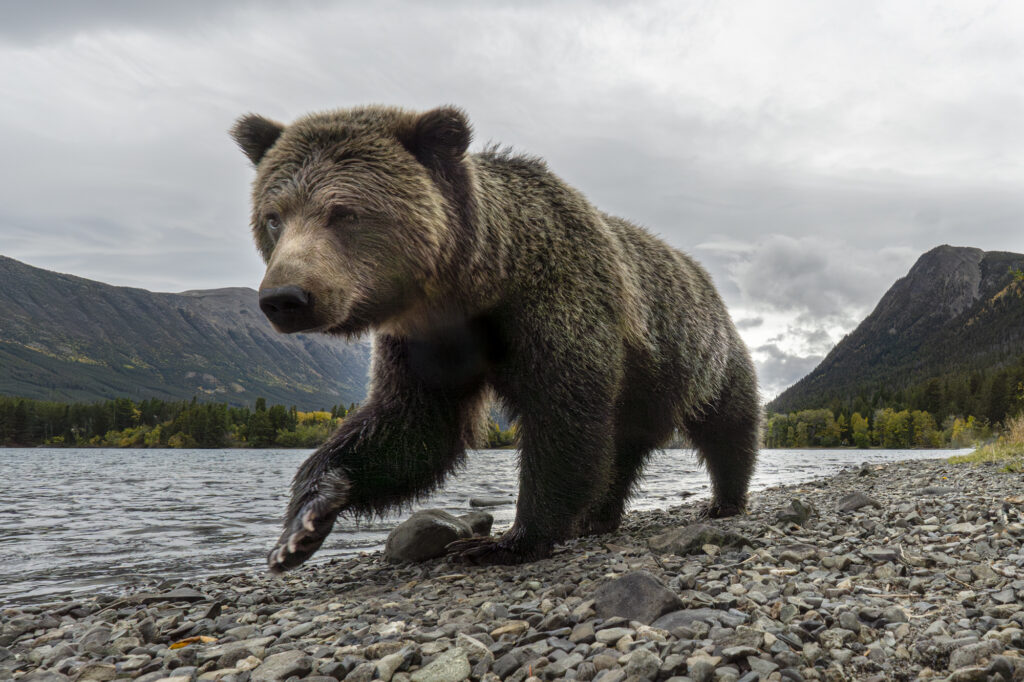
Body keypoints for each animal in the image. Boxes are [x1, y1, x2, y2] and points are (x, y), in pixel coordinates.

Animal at [229, 105, 761, 571]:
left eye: (344, 213)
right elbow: (412, 429)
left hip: (698, 357)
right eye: (273, 216)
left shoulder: (556, 303)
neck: (472, 287)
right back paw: (599, 517)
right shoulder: (428, 343)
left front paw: (507, 541)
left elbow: (562, 418)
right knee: (624, 447)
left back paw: (724, 500)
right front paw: (302, 523)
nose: (284, 298)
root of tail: (703, 277)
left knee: (726, 425)